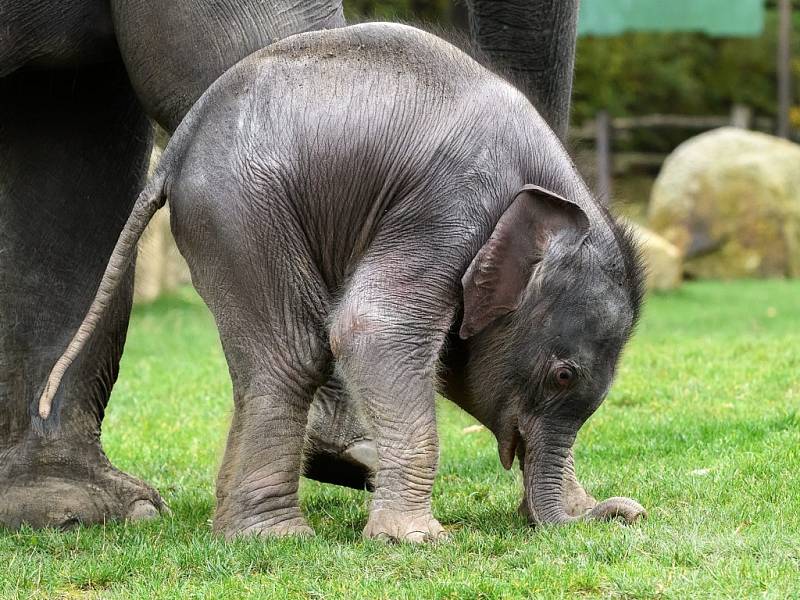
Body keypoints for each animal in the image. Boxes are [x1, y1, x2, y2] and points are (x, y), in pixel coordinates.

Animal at [40, 23, 648, 540]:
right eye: (564, 375)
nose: (604, 519)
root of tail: (175, 151)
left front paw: (614, 511)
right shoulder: (446, 205)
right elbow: (373, 330)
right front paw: (417, 539)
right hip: (241, 211)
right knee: (294, 355)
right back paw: (275, 536)